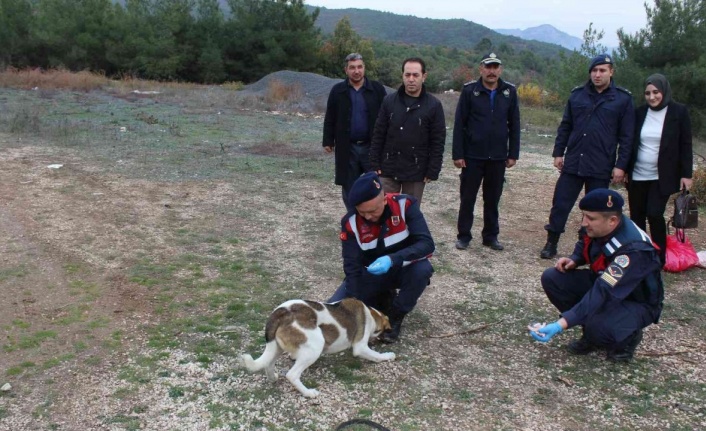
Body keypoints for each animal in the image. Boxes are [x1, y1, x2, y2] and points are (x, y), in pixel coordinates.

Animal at [241, 298, 396, 396]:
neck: (371, 314)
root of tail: (280, 312)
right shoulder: (360, 347)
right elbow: (376, 355)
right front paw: (387, 355)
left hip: (276, 346)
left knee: (268, 363)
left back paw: (273, 378)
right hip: (315, 347)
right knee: (292, 375)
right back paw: (308, 393)